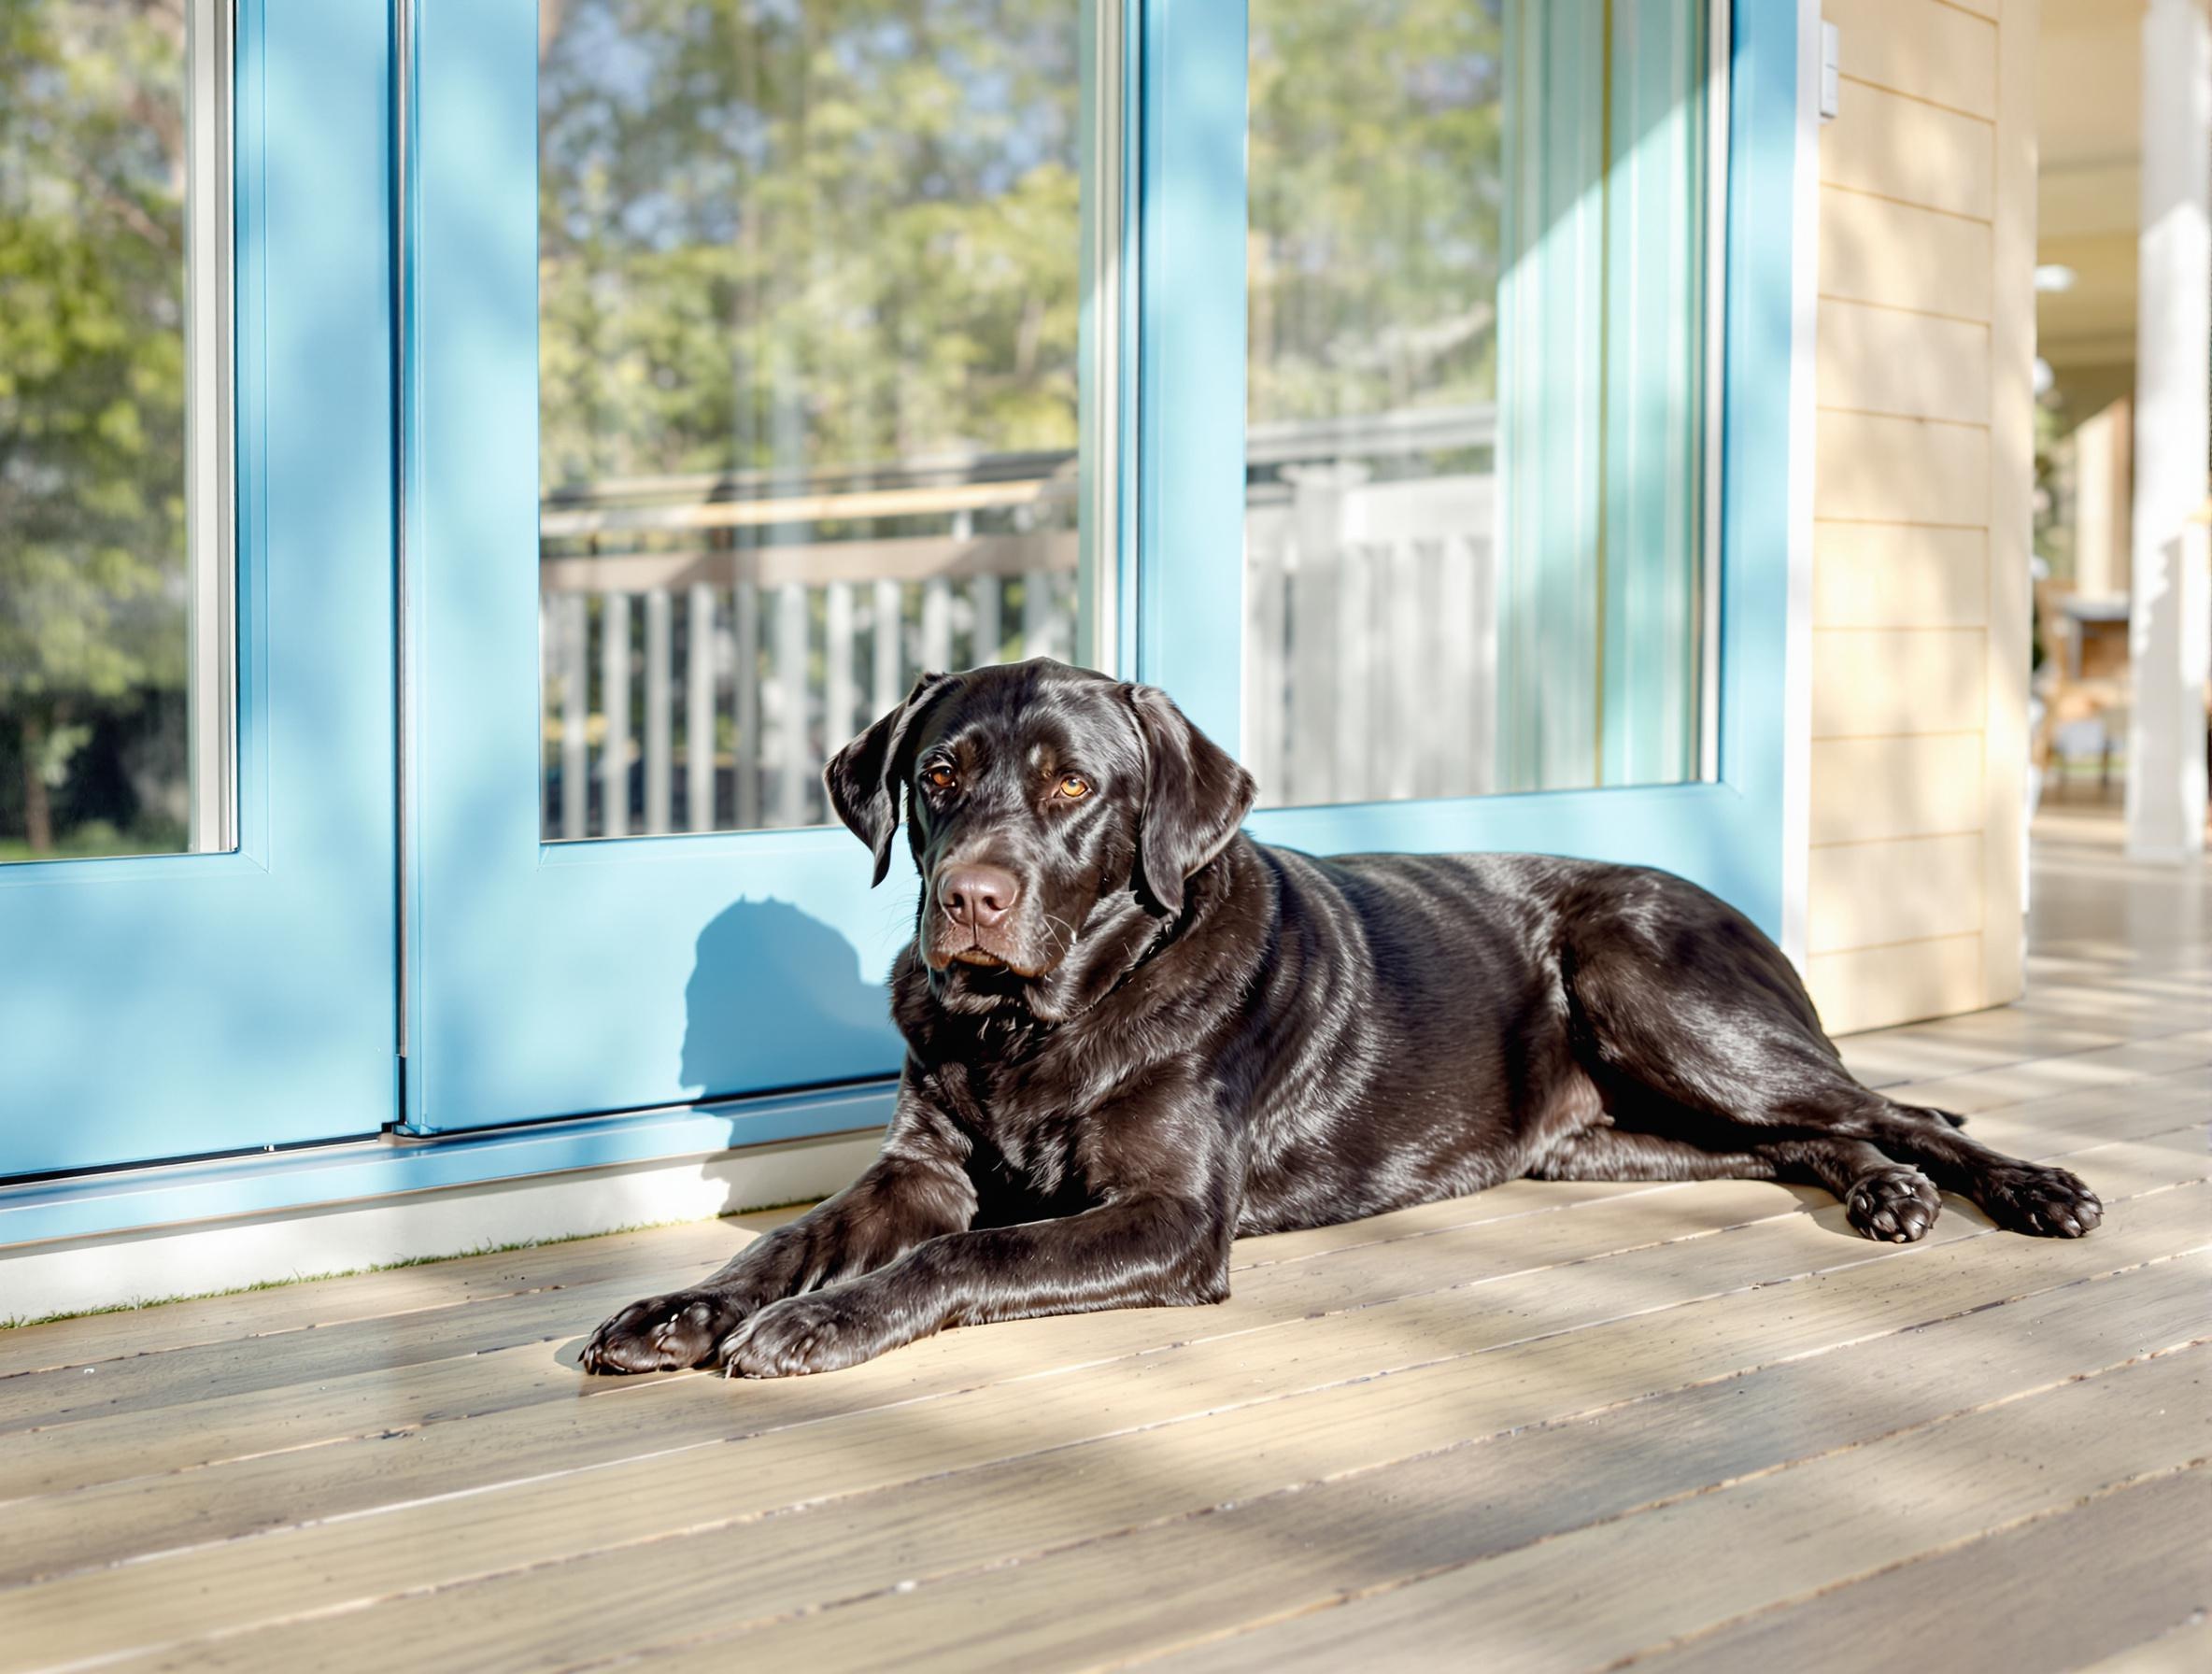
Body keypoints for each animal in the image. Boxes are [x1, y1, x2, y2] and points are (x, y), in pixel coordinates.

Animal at [579, 659, 2096, 1380]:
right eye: (938, 776)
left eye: (1070, 788)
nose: (967, 898)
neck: (1032, 1032)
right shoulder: (920, 1169)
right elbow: (789, 1239)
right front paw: (678, 1310)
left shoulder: (1169, 1218)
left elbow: (965, 1258)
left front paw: (815, 1329)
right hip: (1611, 1136)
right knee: (1810, 1136)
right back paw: (1885, 1191)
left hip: (1656, 989)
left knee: (1885, 1104)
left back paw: (2024, 1185)